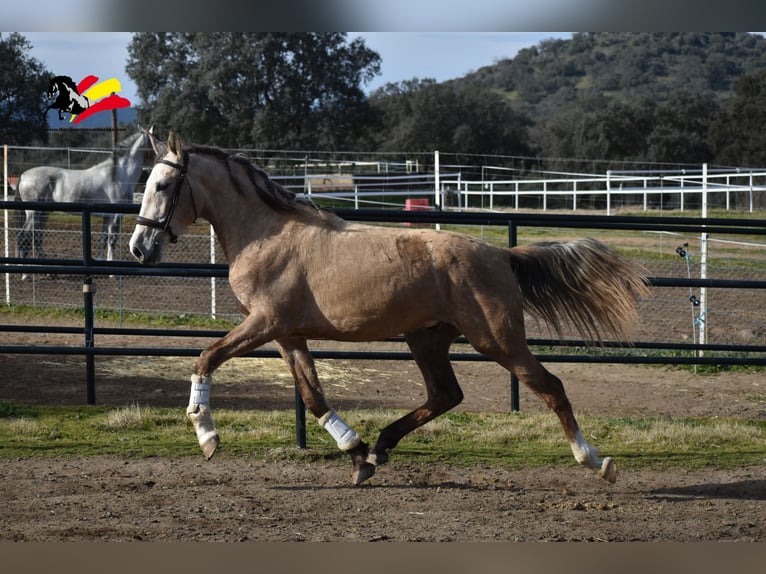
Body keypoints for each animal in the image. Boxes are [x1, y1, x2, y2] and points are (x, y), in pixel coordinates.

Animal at [15, 127, 155, 272]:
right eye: (155, 139)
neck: (117, 176)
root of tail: (23, 176)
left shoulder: (107, 216)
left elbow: (103, 239)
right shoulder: (116, 215)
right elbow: (112, 240)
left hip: (43, 214)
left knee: (36, 238)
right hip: (33, 214)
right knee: (23, 237)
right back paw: (24, 271)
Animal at [129, 133, 652, 488]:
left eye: (164, 184)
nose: (138, 248)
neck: (267, 233)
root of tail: (501, 255)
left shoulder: (264, 323)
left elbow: (206, 357)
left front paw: (206, 435)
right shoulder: (287, 334)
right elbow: (313, 396)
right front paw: (357, 454)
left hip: (497, 340)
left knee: (550, 388)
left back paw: (596, 461)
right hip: (427, 338)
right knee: (445, 395)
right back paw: (381, 446)